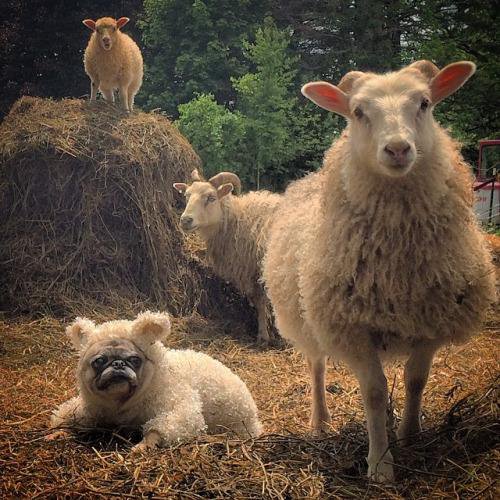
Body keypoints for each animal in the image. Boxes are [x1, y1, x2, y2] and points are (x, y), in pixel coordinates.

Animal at [173, 170, 282, 346]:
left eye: (211, 197)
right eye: (187, 196)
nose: (185, 220)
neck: (238, 220)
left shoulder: (254, 272)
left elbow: (260, 303)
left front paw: (263, 336)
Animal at [262, 60, 496, 482]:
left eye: (424, 103)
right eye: (357, 112)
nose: (398, 149)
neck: (397, 265)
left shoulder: (431, 321)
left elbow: (415, 381)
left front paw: (410, 436)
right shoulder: (352, 327)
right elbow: (372, 392)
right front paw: (380, 464)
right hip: (308, 318)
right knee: (316, 367)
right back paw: (320, 422)